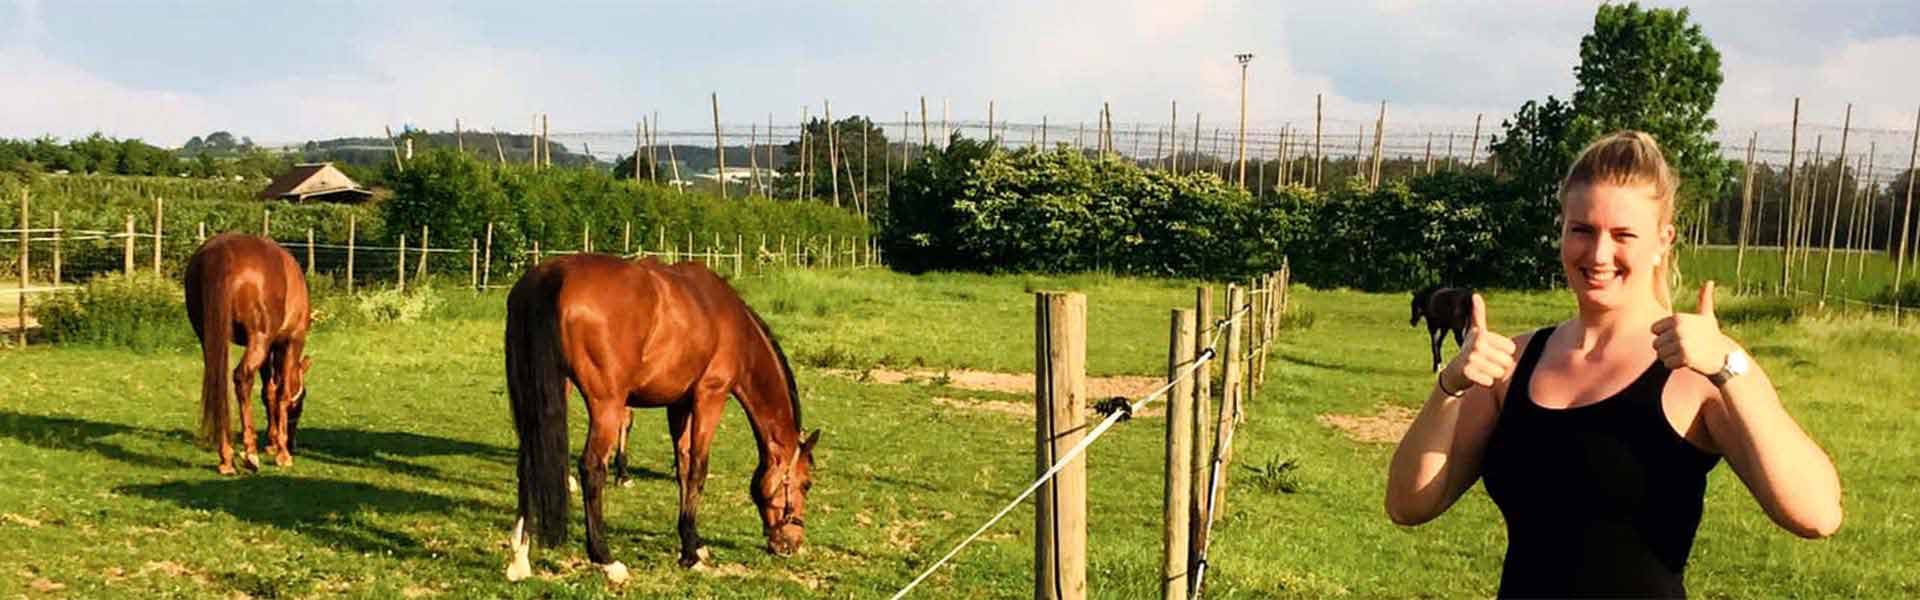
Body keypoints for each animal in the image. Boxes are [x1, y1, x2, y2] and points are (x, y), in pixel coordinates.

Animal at [185, 234, 312, 473]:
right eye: (300, 403)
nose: (293, 443)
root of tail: (220, 252)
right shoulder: (291, 341)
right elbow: (282, 393)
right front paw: (282, 452)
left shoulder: (270, 348)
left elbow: (269, 392)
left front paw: (273, 442)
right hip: (258, 339)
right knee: (242, 378)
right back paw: (250, 454)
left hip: (210, 338)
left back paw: (226, 457)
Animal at [503, 253, 817, 580]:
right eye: (806, 484)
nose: (792, 544)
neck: (733, 326)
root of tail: (554, 275)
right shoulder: (710, 397)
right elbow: (698, 470)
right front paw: (691, 553)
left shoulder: (679, 405)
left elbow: (683, 465)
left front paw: (694, 542)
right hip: (607, 405)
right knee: (591, 467)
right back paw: (606, 559)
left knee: (529, 461)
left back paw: (520, 558)